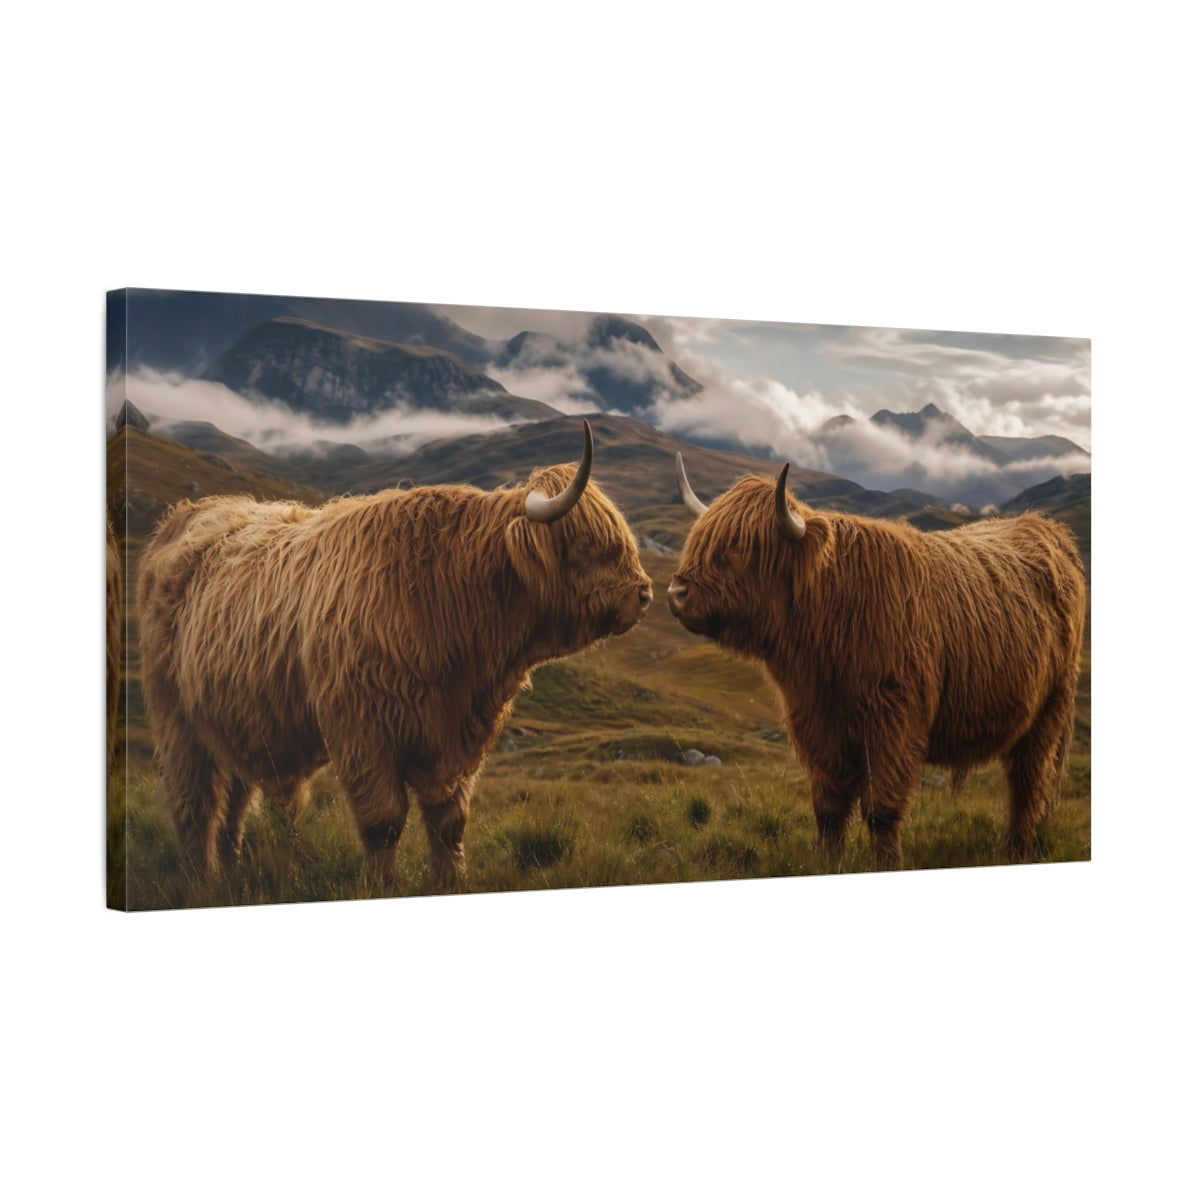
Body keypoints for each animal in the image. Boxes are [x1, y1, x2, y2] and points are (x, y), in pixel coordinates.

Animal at [137, 421, 652, 887]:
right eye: (588, 543)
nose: (644, 594)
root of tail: (190, 515)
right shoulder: (363, 731)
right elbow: (383, 821)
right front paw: (384, 885)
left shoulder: (455, 739)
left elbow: (449, 821)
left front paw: (452, 880)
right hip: (177, 720)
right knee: (196, 802)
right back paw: (201, 877)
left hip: (239, 718)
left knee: (237, 799)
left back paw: (234, 868)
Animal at [668, 455, 1086, 869]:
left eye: (740, 547)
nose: (676, 593)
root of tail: (1046, 529)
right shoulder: (817, 726)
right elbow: (829, 808)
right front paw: (828, 863)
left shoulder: (893, 722)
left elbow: (880, 807)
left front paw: (886, 863)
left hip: (1048, 711)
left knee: (1027, 783)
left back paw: (1016, 849)